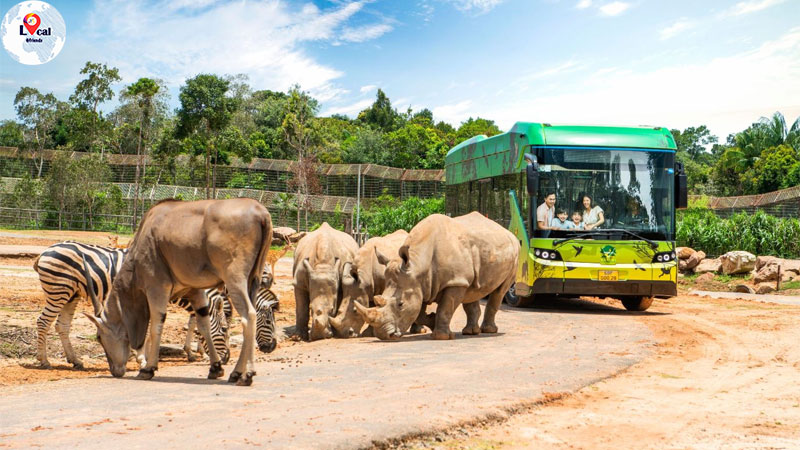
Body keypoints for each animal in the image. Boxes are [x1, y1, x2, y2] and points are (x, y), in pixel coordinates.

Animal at [33, 243, 228, 370]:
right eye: (225, 329)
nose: (226, 359)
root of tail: (46, 251)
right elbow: (149, 331)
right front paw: (143, 359)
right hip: (59, 290)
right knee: (43, 322)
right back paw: (44, 361)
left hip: (71, 293)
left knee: (62, 326)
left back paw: (75, 361)